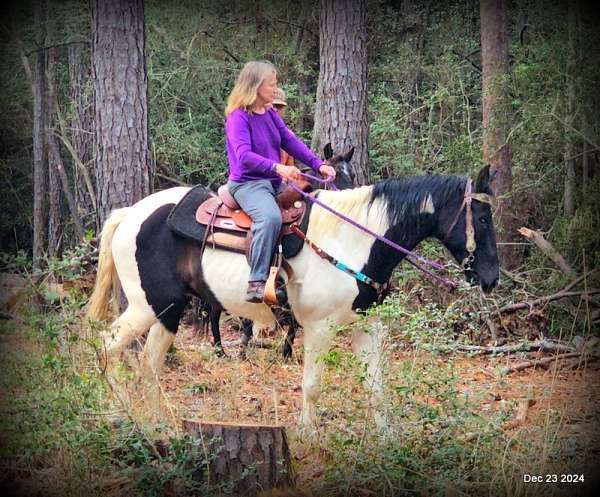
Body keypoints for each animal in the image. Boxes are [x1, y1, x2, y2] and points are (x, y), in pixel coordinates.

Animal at [85, 165, 496, 432]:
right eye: (482, 217)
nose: (492, 279)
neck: (355, 240)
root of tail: (130, 213)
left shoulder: (368, 325)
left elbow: (377, 389)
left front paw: (387, 442)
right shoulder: (319, 327)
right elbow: (312, 386)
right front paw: (309, 438)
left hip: (168, 311)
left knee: (149, 364)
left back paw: (156, 422)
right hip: (148, 306)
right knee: (106, 347)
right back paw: (118, 413)